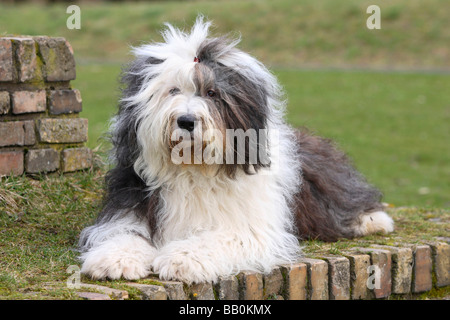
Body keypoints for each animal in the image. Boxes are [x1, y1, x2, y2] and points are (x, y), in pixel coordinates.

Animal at [78, 17, 394, 282]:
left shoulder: (249, 228)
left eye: (212, 93)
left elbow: (219, 237)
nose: (186, 120)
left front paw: (181, 259)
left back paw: (374, 220)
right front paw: (116, 260)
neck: (193, 170)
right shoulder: (131, 205)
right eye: (173, 91)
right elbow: (123, 232)